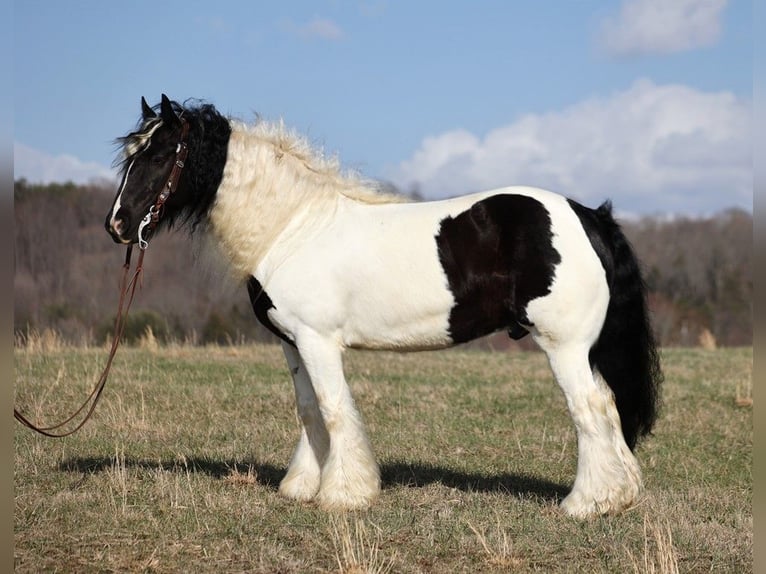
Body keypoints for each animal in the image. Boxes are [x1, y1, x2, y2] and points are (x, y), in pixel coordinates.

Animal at [105, 97, 664, 520]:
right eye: (131, 154)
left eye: (160, 155)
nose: (118, 224)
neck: (292, 226)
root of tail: (588, 216)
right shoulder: (294, 345)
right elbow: (309, 410)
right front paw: (302, 487)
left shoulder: (318, 341)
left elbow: (334, 409)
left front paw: (344, 494)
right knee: (608, 406)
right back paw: (619, 496)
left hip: (564, 347)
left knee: (589, 409)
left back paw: (586, 503)